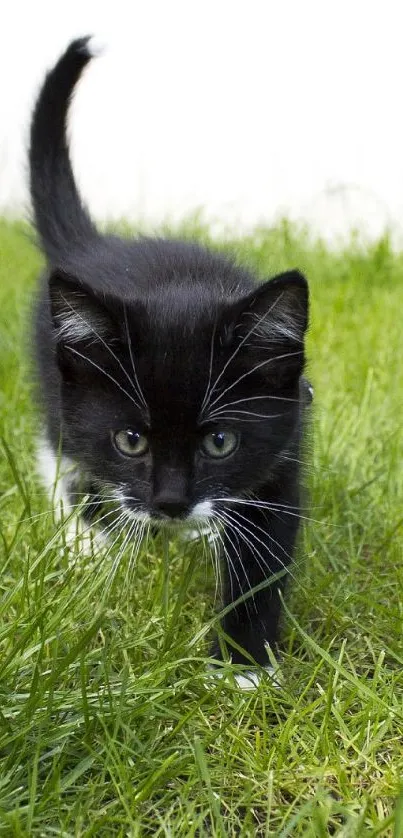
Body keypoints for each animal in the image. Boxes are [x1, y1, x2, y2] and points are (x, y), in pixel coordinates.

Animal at [30, 36, 312, 684]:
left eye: (219, 443)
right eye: (131, 441)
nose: (171, 505)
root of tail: (95, 248)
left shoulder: (284, 441)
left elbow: (266, 547)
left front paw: (244, 664)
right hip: (56, 385)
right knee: (58, 452)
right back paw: (89, 541)